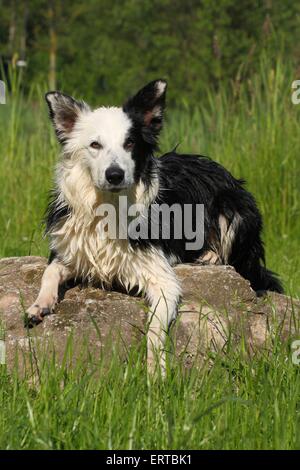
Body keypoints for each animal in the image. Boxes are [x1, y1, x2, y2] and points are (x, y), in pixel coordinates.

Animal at [26, 80, 284, 374]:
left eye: (129, 143)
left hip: (233, 207)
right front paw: (40, 304)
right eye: (95, 145)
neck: (108, 207)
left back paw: (210, 256)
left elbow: (154, 329)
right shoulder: (74, 250)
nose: (115, 174)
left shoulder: (163, 280)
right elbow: (50, 271)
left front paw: (154, 371)